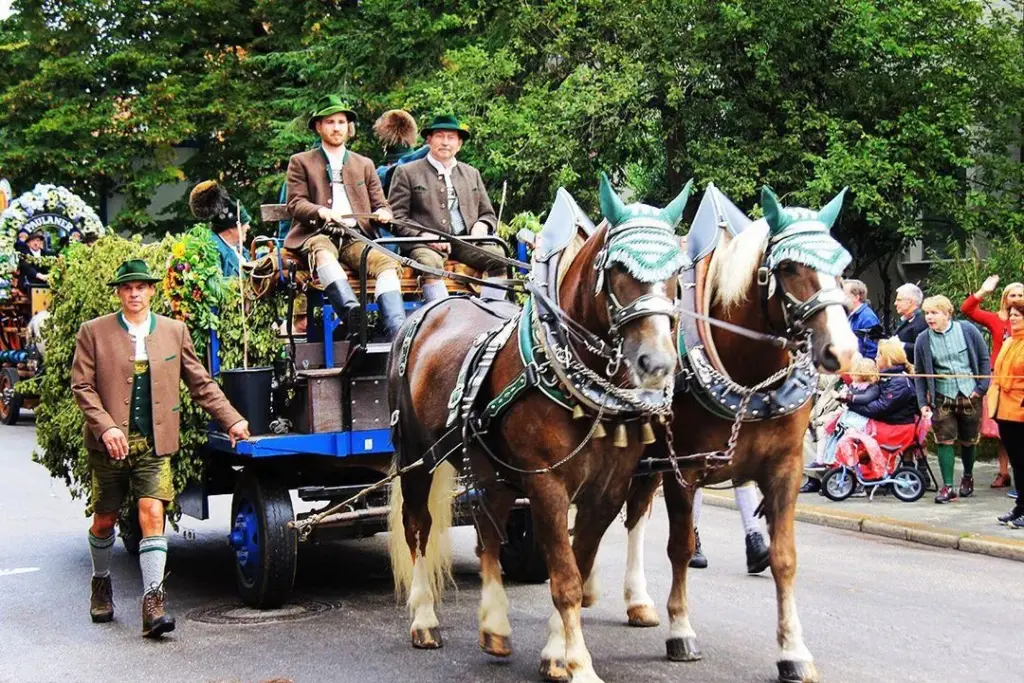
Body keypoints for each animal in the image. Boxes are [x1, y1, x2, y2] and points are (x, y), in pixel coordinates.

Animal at [387, 178, 692, 683]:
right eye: (617, 269)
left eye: (677, 271)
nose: (657, 363)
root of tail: (430, 309)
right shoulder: (547, 483)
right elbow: (565, 578)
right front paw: (581, 665)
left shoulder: (607, 489)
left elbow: (574, 564)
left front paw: (556, 655)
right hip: (415, 457)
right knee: (418, 527)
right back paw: (424, 619)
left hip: (491, 467)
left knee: (488, 530)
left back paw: (494, 627)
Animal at [610, 187, 860, 683]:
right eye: (789, 268)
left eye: (842, 265)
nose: (842, 351)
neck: (748, 374)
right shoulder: (684, 469)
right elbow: (680, 548)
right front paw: (681, 630)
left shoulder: (784, 469)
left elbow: (784, 558)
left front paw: (793, 650)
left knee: (633, 515)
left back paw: (636, 600)